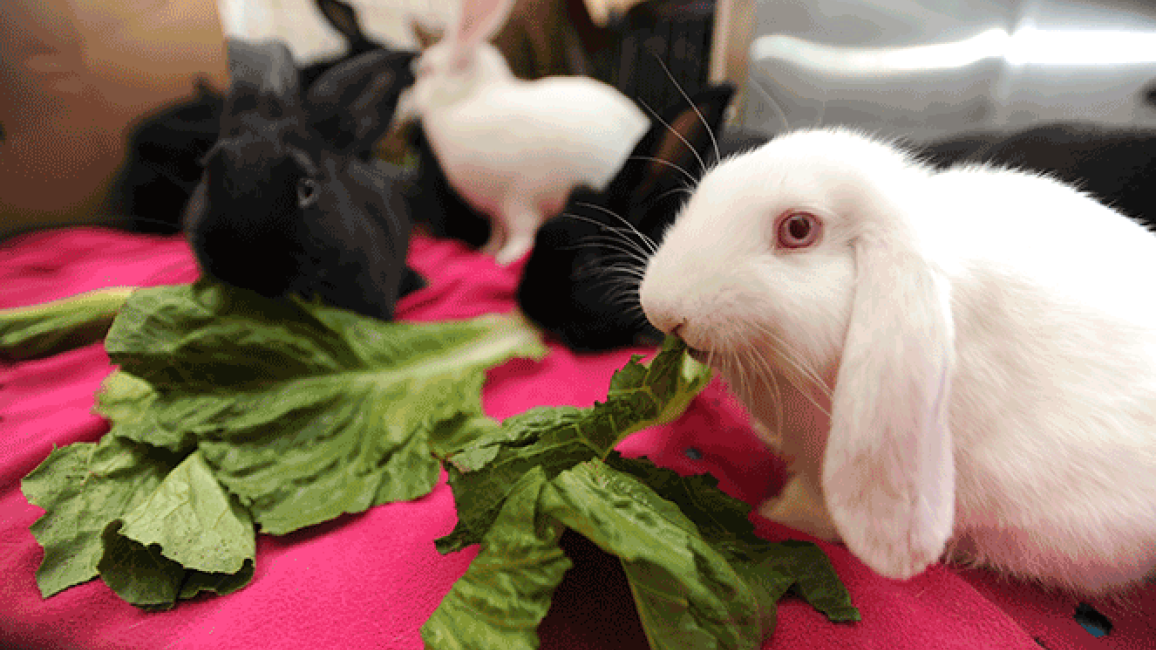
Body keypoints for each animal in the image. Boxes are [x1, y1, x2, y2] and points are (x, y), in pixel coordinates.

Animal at [404, 0, 650, 265]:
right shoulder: (497, 209)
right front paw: (488, 251)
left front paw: (506, 258)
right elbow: (497, 231)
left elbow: (521, 232)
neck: (469, 97)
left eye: (426, 71)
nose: (410, 105)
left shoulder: (518, 198)